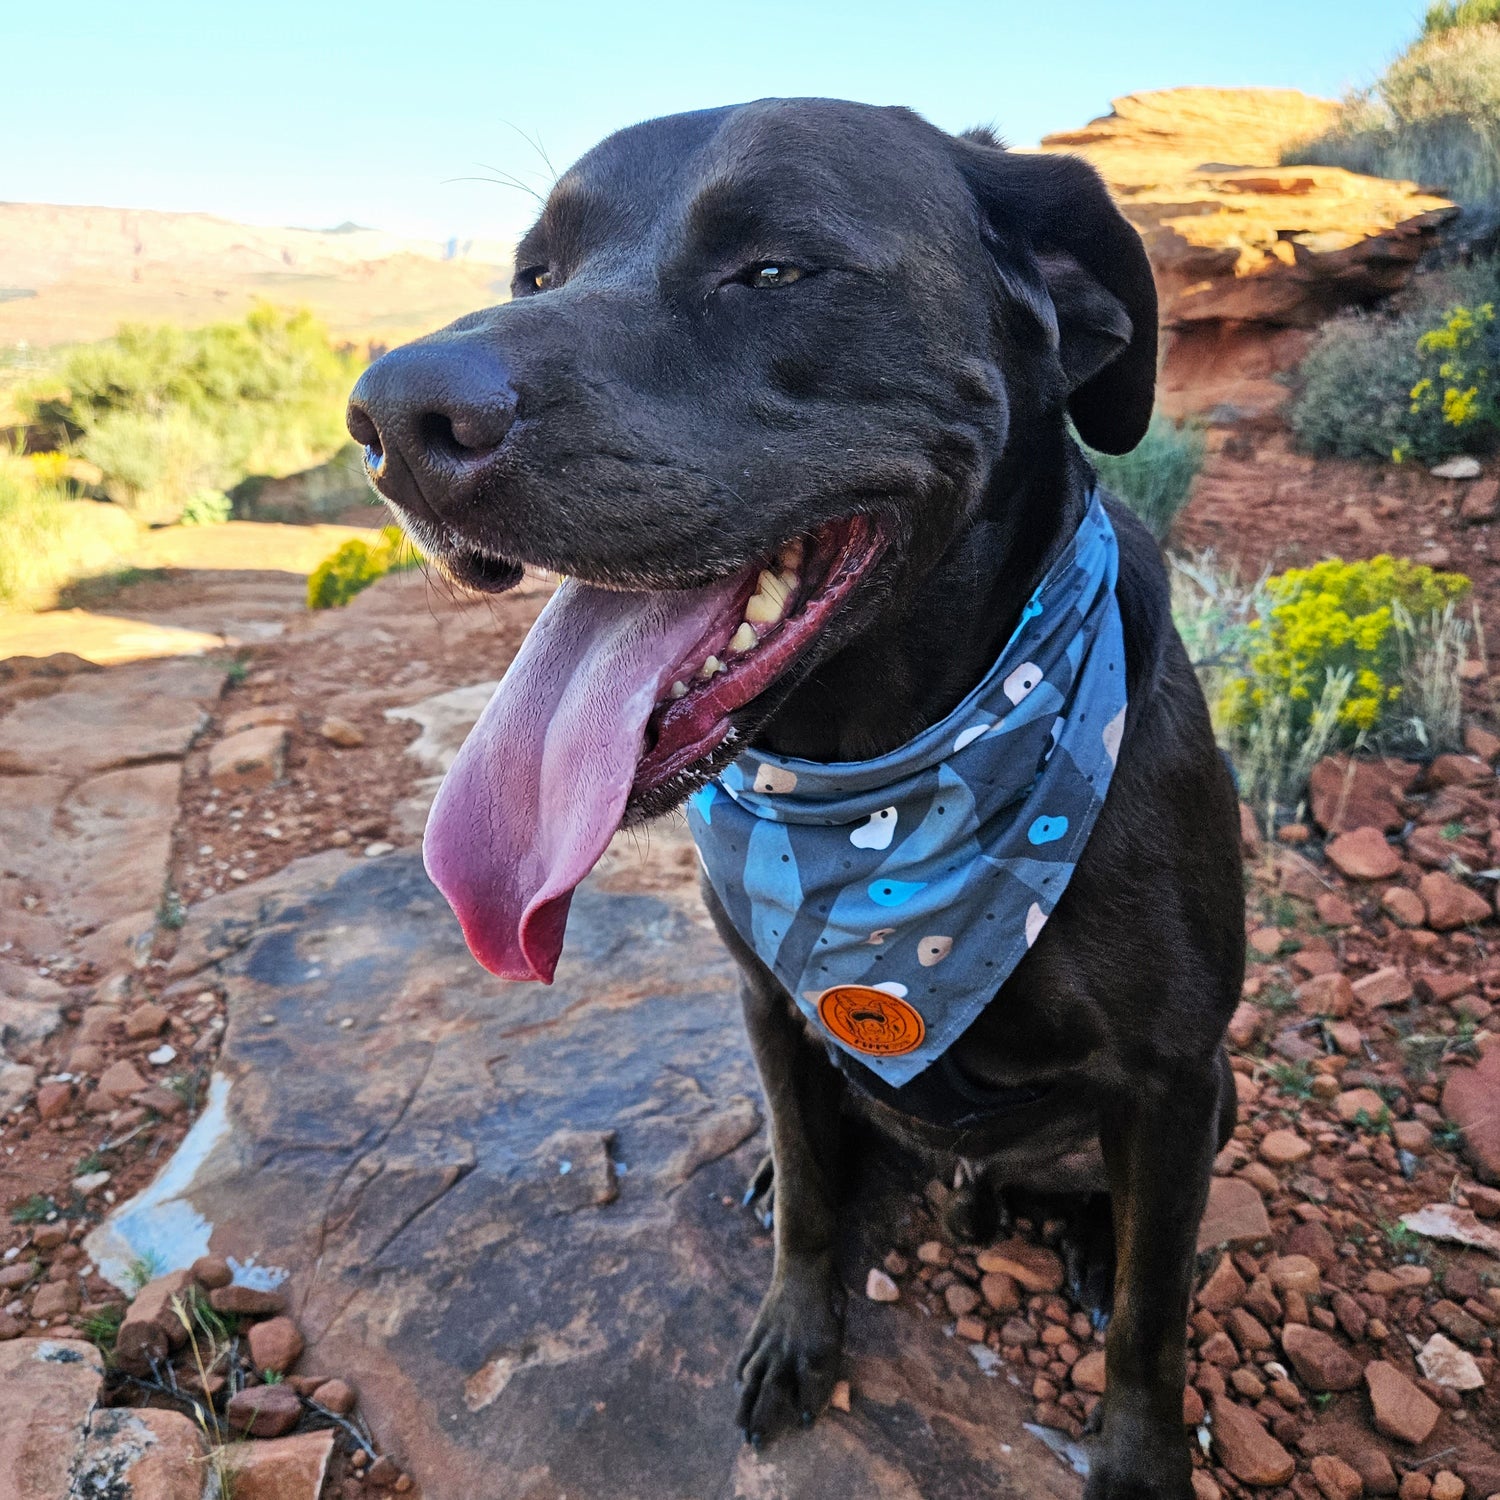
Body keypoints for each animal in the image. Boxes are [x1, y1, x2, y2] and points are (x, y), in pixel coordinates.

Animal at [348, 99, 1242, 1494]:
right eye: (535, 275)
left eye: (774, 271)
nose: (391, 419)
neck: (888, 783)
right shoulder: (769, 1000)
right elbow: (818, 1200)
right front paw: (795, 1330)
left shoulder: (1173, 1078)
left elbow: (1152, 1325)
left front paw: (1141, 1463)